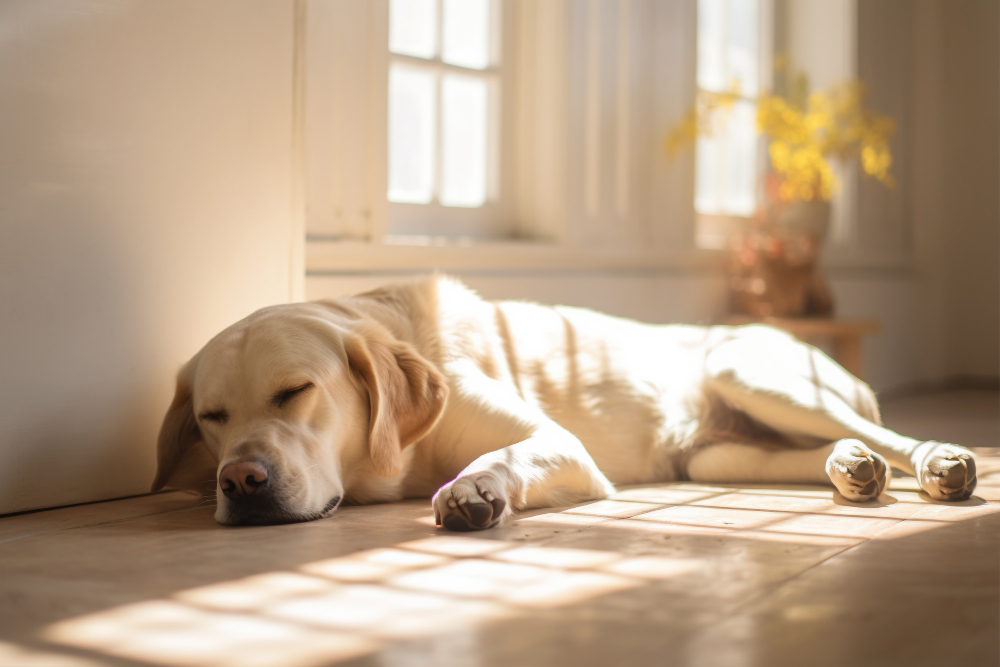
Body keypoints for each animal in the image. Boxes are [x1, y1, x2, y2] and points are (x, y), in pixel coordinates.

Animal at [152, 274, 980, 528]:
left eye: (295, 391)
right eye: (212, 417)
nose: (241, 481)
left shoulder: (558, 445)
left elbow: (503, 454)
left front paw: (474, 488)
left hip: (751, 373)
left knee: (891, 433)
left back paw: (939, 461)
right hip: (716, 456)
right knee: (828, 451)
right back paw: (852, 467)